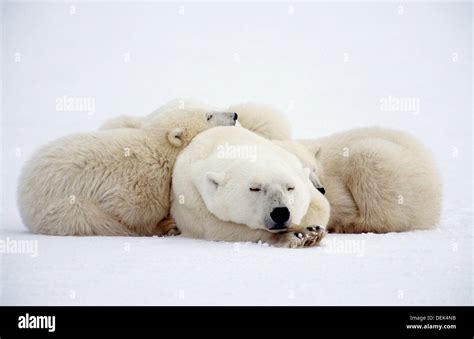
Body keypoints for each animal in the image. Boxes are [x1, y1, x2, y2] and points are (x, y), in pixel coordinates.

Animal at [18, 99, 237, 235]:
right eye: (209, 116)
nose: (234, 115)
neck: (158, 149)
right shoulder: (141, 179)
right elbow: (135, 211)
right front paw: (165, 225)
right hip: (59, 209)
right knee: (88, 218)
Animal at [169, 126, 330, 248]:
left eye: (290, 187)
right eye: (255, 188)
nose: (280, 213)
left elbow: (320, 207)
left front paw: (312, 230)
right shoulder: (191, 196)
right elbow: (216, 227)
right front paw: (299, 235)